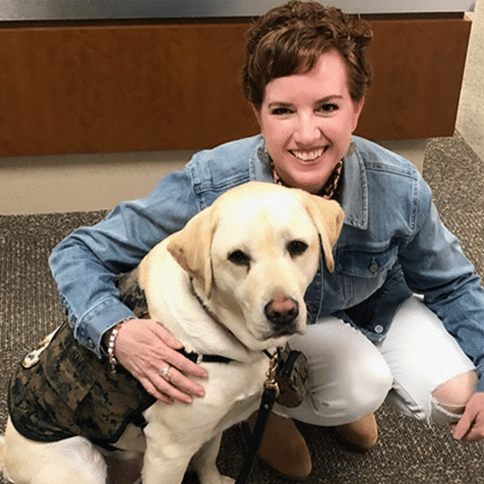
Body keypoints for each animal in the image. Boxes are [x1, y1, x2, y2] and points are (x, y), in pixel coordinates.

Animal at [0, 182, 344, 484]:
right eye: (237, 257)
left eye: (297, 246)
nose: (283, 312)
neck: (221, 331)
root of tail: (6, 448)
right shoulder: (169, 452)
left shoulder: (211, 427)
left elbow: (208, 459)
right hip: (82, 462)